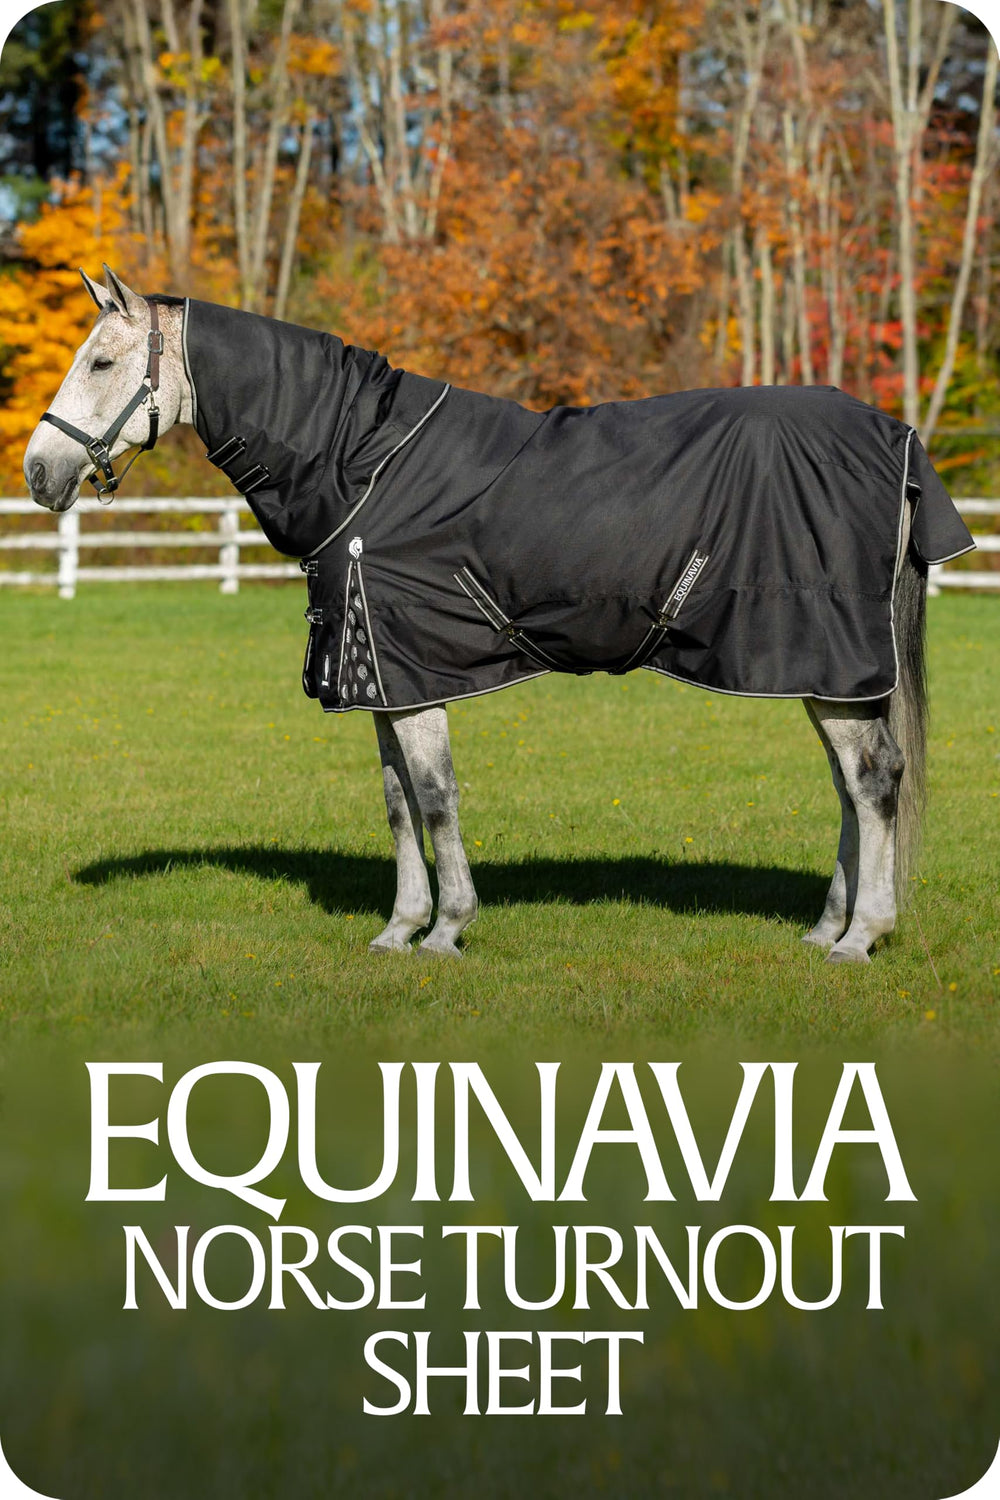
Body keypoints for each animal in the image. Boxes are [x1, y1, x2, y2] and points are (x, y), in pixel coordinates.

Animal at [23, 267, 974, 964]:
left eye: (101, 364)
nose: (37, 472)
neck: (362, 463)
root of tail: (894, 436)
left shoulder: (413, 672)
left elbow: (437, 798)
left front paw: (447, 930)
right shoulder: (381, 677)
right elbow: (397, 803)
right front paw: (399, 929)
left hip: (825, 660)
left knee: (875, 780)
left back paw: (862, 938)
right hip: (823, 675)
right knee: (852, 786)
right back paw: (826, 927)